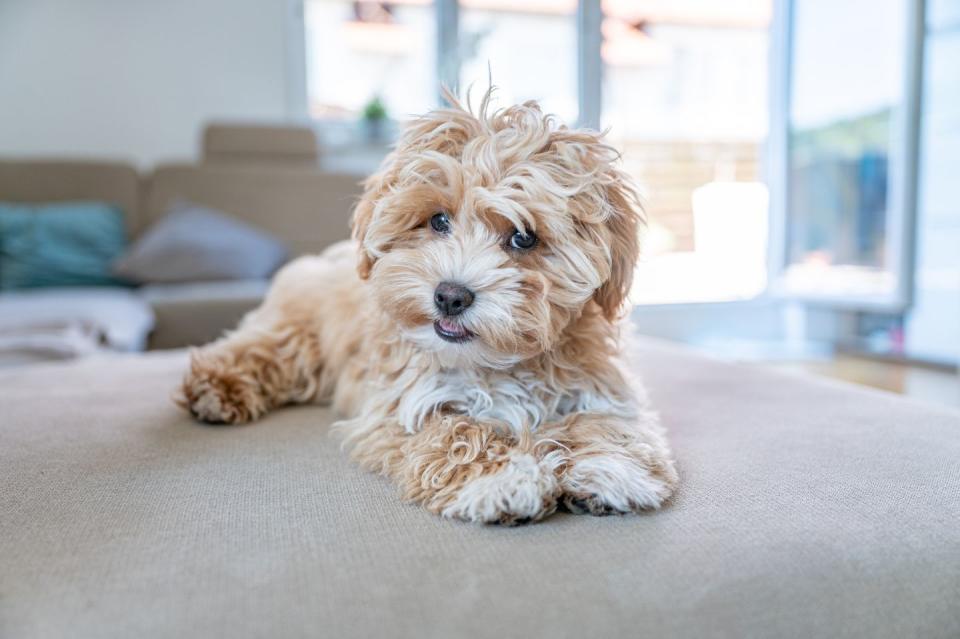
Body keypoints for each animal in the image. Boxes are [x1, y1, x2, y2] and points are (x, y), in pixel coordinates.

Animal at [180, 92, 676, 528]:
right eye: (438, 220)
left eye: (523, 237)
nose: (451, 295)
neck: (500, 364)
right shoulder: (406, 403)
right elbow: (456, 434)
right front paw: (504, 478)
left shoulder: (601, 387)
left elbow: (610, 423)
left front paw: (613, 467)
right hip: (302, 329)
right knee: (262, 347)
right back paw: (213, 388)